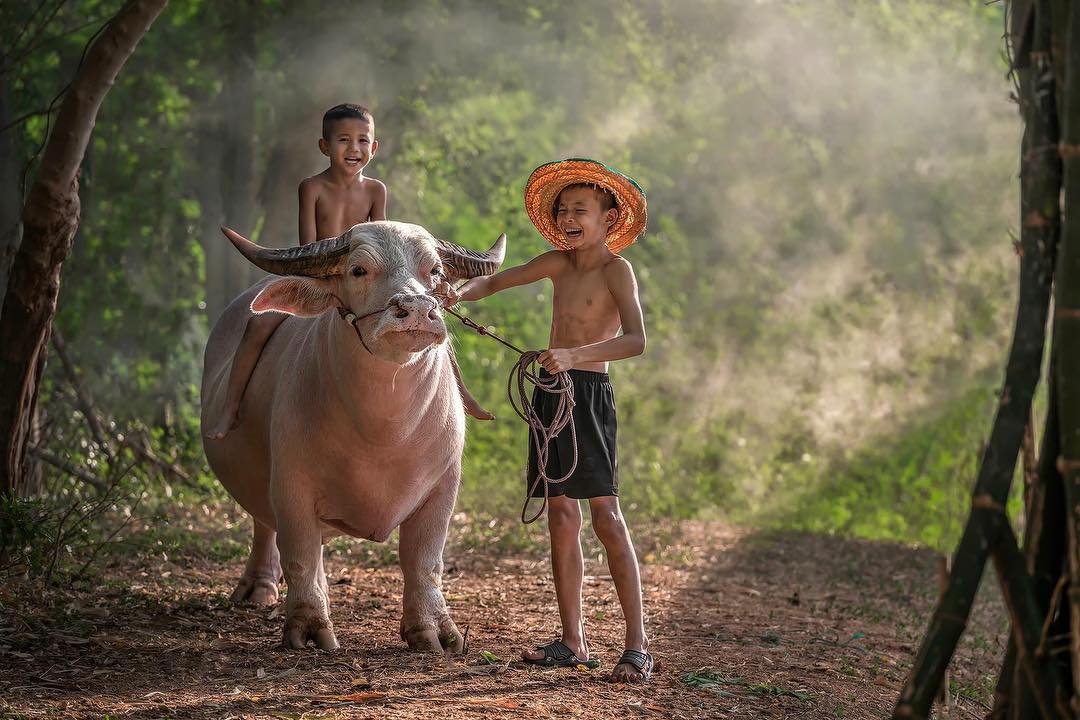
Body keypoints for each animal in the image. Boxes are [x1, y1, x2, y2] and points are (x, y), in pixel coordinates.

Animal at [201, 221, 505, 651]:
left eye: (434, 271)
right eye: (358, 270)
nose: (417, 309)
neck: (384, 432)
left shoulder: (442, 488)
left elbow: (424, 561)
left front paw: (433, 629)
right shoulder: (291, 486)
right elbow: (299, 555)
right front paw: (309, 626)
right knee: (267, 527)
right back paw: (258, 588)